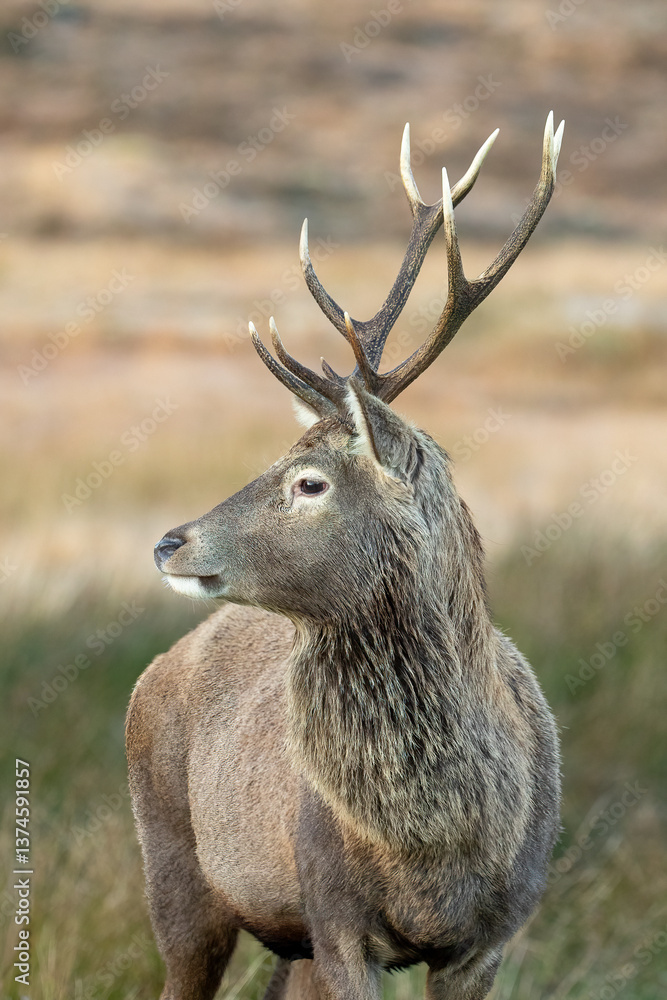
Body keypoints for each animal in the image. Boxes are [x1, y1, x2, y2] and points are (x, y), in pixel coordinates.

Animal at [126, 112, 564, 1000]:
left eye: (309, 481)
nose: (168, 541)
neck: (438, 847)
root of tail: (157, 669)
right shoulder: (334, 918)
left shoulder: (493, 935)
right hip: (177, 874)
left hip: (279, 937)